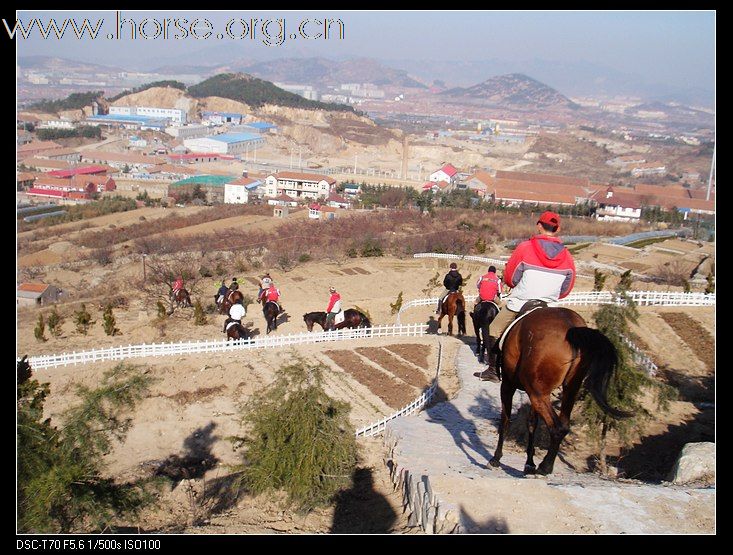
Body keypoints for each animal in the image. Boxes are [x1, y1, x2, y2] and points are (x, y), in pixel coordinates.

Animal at [486, 306, 628, 476]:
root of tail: (571, 327)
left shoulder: (508, 385)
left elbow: (505, 420)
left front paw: (496, 458)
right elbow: (532, 423)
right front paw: (529, 463)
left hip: (538, 394)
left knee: (557, 427)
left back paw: (545, 467)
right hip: (569, 389)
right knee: (564, 425)